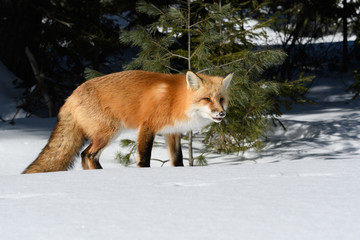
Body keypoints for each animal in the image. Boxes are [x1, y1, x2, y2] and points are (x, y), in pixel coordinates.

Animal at [22, 70, 232, 173]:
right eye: (207, 99)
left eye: (221, 99)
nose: (222, 114)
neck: (176, 100)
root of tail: (70, 97)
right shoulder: (147, 127)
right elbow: (144, 159)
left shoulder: (172, 132)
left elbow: (178, 161)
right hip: (109, 133)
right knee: (88, 155)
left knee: (83, 155)